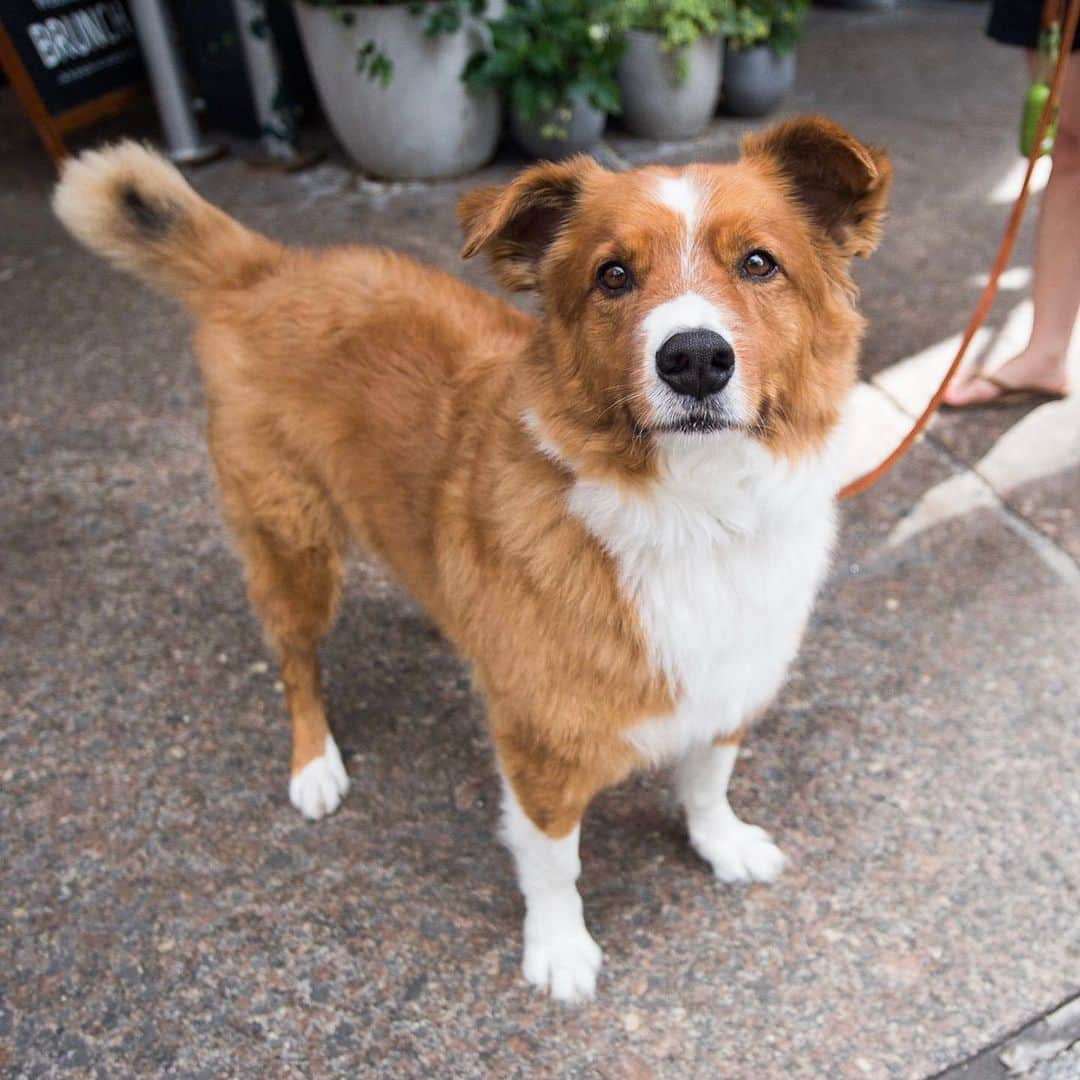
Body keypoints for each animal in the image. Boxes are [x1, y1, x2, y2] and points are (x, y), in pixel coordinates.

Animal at [54, 118, 889, 1002]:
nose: (694, 358)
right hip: (294, 547)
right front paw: (558, 949)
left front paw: (721, 843)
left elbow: (706, 785)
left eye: (759, 263)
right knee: (294, 663)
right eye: (613, 275)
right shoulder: (540, 751)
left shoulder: (731, 685)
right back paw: (314, 764)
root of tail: (264, 270)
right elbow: (555, 863)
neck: (695, 514)